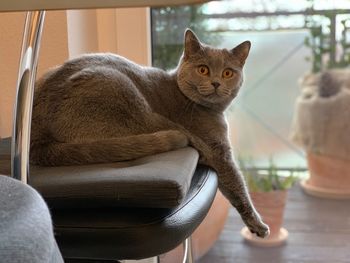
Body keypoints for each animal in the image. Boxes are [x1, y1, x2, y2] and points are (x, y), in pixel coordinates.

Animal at [30, 28, 270, 239]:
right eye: (203, 69)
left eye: (228, 73)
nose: (216, 83)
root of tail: (36, 138)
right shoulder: (220, 154)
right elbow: (238, 186)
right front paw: (258, 225)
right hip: (126, 94)